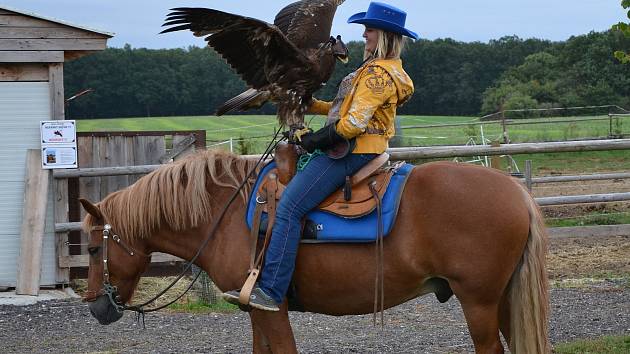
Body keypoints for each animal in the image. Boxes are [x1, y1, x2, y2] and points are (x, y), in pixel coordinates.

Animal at [81, 150, 552, 354]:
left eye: (92, 246)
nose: (96, 307)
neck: (225, 211)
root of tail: (516, 192)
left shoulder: (272, 307)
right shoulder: (255, 310)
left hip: (479, 301)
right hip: (502, 298)